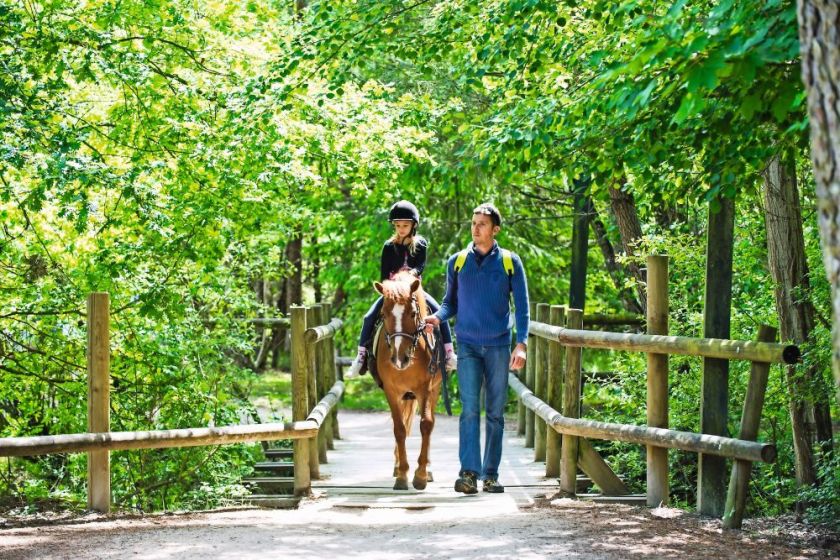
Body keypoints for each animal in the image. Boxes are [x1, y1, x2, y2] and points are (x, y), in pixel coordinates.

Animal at [372, 270, 442, 490]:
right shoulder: (391, 391)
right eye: (384, 314)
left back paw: (428, 469)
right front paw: (402, 474)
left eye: (412, 313)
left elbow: (426, 424)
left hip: (435, 390)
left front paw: (420, 475)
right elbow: (399, 429)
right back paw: (397, 467)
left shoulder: (425, 389)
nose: (399, 358)